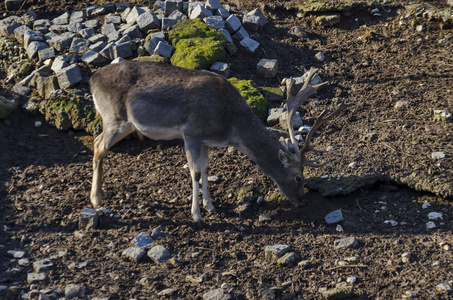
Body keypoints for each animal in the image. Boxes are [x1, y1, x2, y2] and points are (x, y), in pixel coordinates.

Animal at [88, 60, 350, 223]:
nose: (302, 201)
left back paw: (101, 194)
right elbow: (194, 172)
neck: (230, 124)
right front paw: (196, 215)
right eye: (298, 177)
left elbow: (205, 169)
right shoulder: (191, 132)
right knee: (98, 145)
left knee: (97, 142)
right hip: (116, 118)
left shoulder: (205, 141)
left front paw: (210, 206)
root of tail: (93, 79)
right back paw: (96, 199)